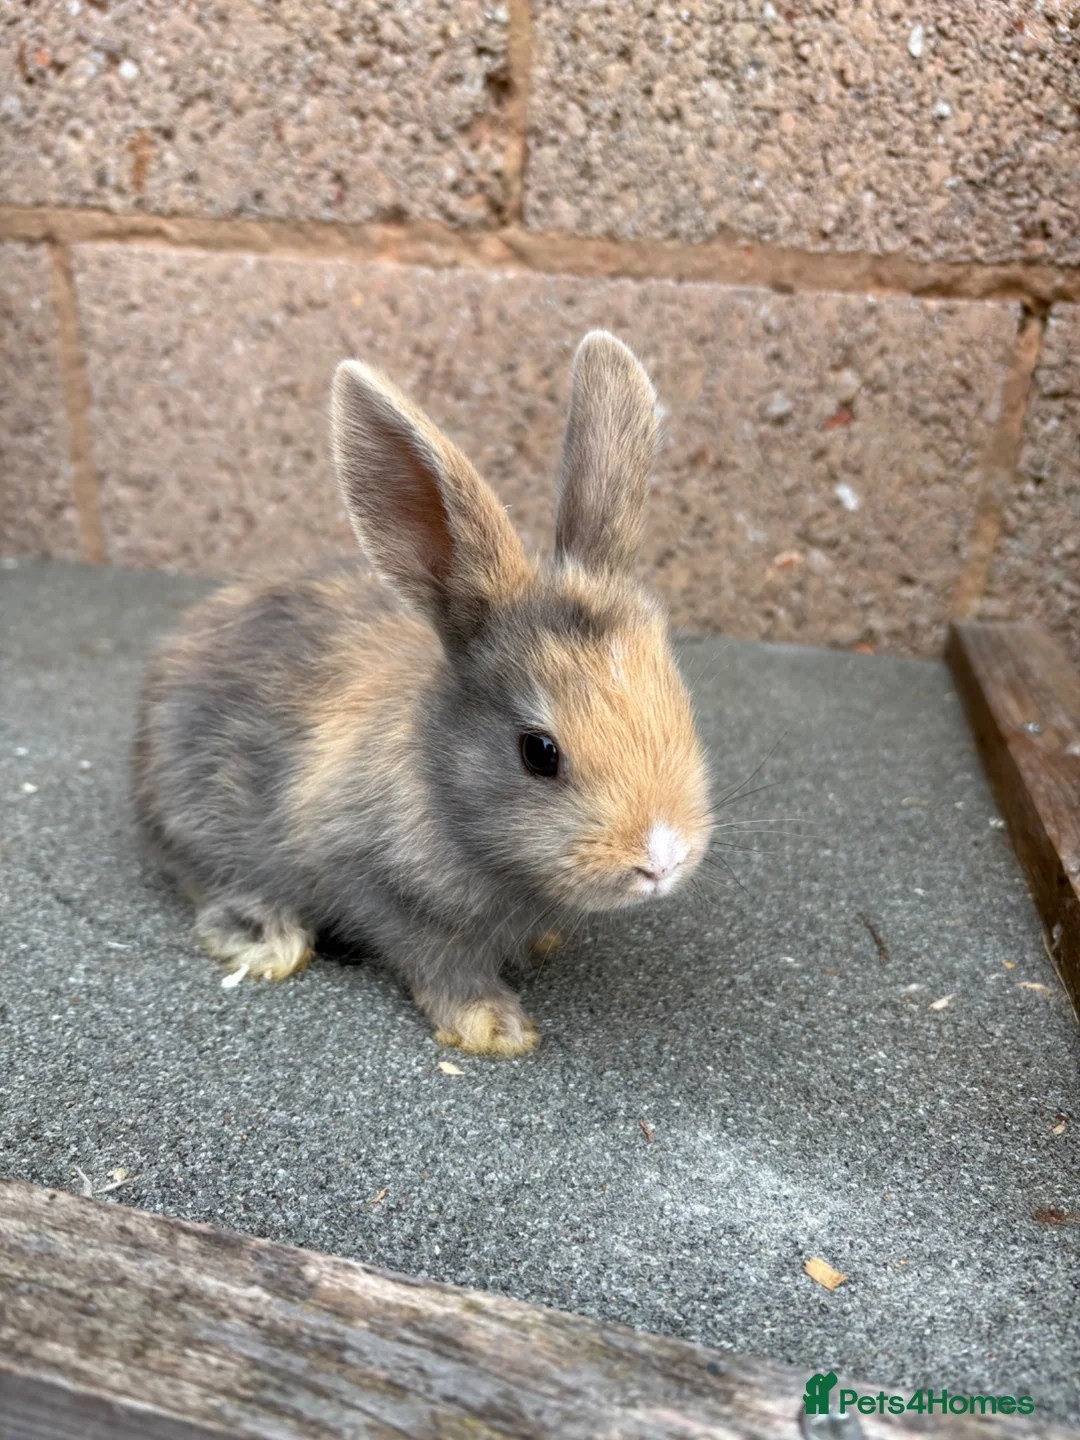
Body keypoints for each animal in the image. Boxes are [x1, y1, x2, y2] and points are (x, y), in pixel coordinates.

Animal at [133, 331, 714, 1057]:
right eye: (539, 752)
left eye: (681, 706)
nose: (660, 861)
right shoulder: (381, 888)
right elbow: (439, 961)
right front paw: (494, 1027)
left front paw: (542, 946)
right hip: (199, 818)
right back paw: (268, 938)